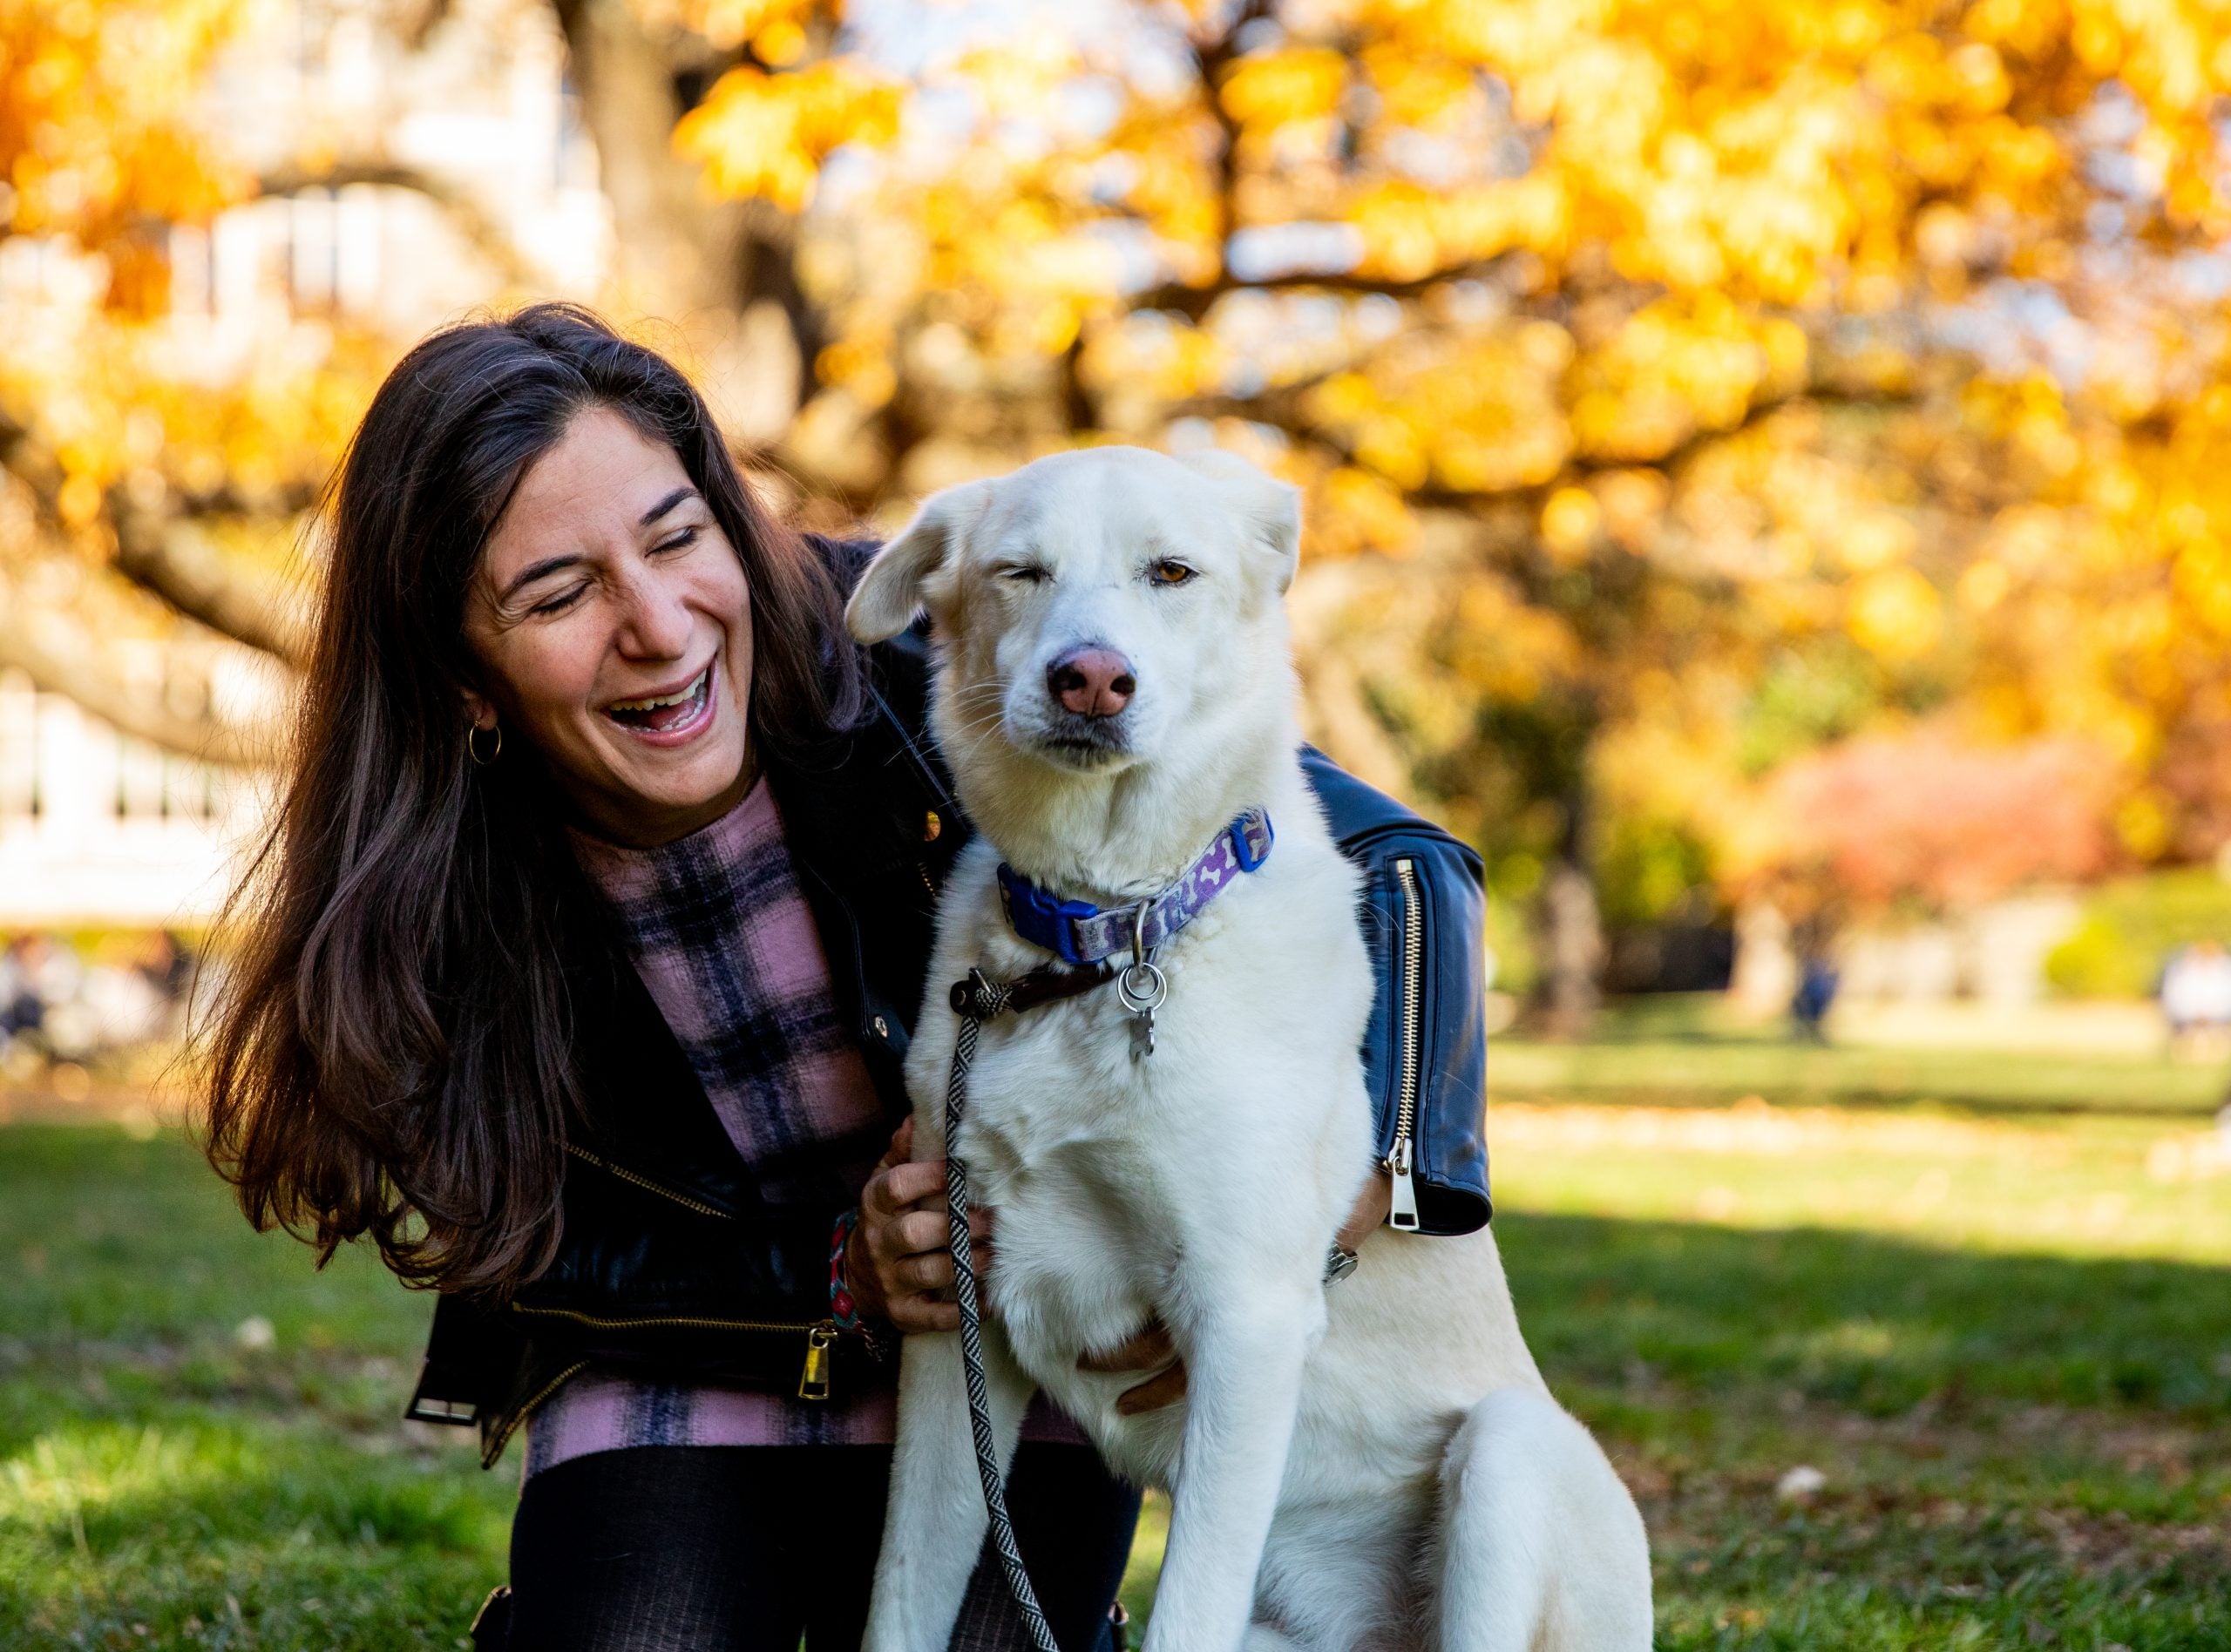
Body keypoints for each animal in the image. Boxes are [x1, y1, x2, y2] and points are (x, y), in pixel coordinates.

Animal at [843, 443, 1651, 1649]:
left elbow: (1189, 1609)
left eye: (1172, 572)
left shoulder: (1245, 1320)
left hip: (1508, 1452)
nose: (1091, 679)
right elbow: (897, 1597)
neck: (1106, 932)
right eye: (1019, 573)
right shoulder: (957, 1319)